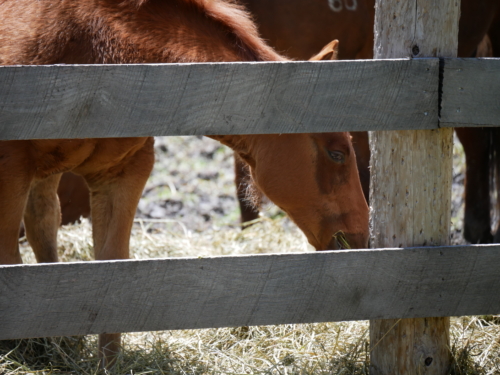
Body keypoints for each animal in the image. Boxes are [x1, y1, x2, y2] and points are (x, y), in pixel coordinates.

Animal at [0, 0, 368, 368]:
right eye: (336, 153)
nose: (361, 237)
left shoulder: (123, 172)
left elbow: (111, 266)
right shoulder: (12, 170)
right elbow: (10, 259)